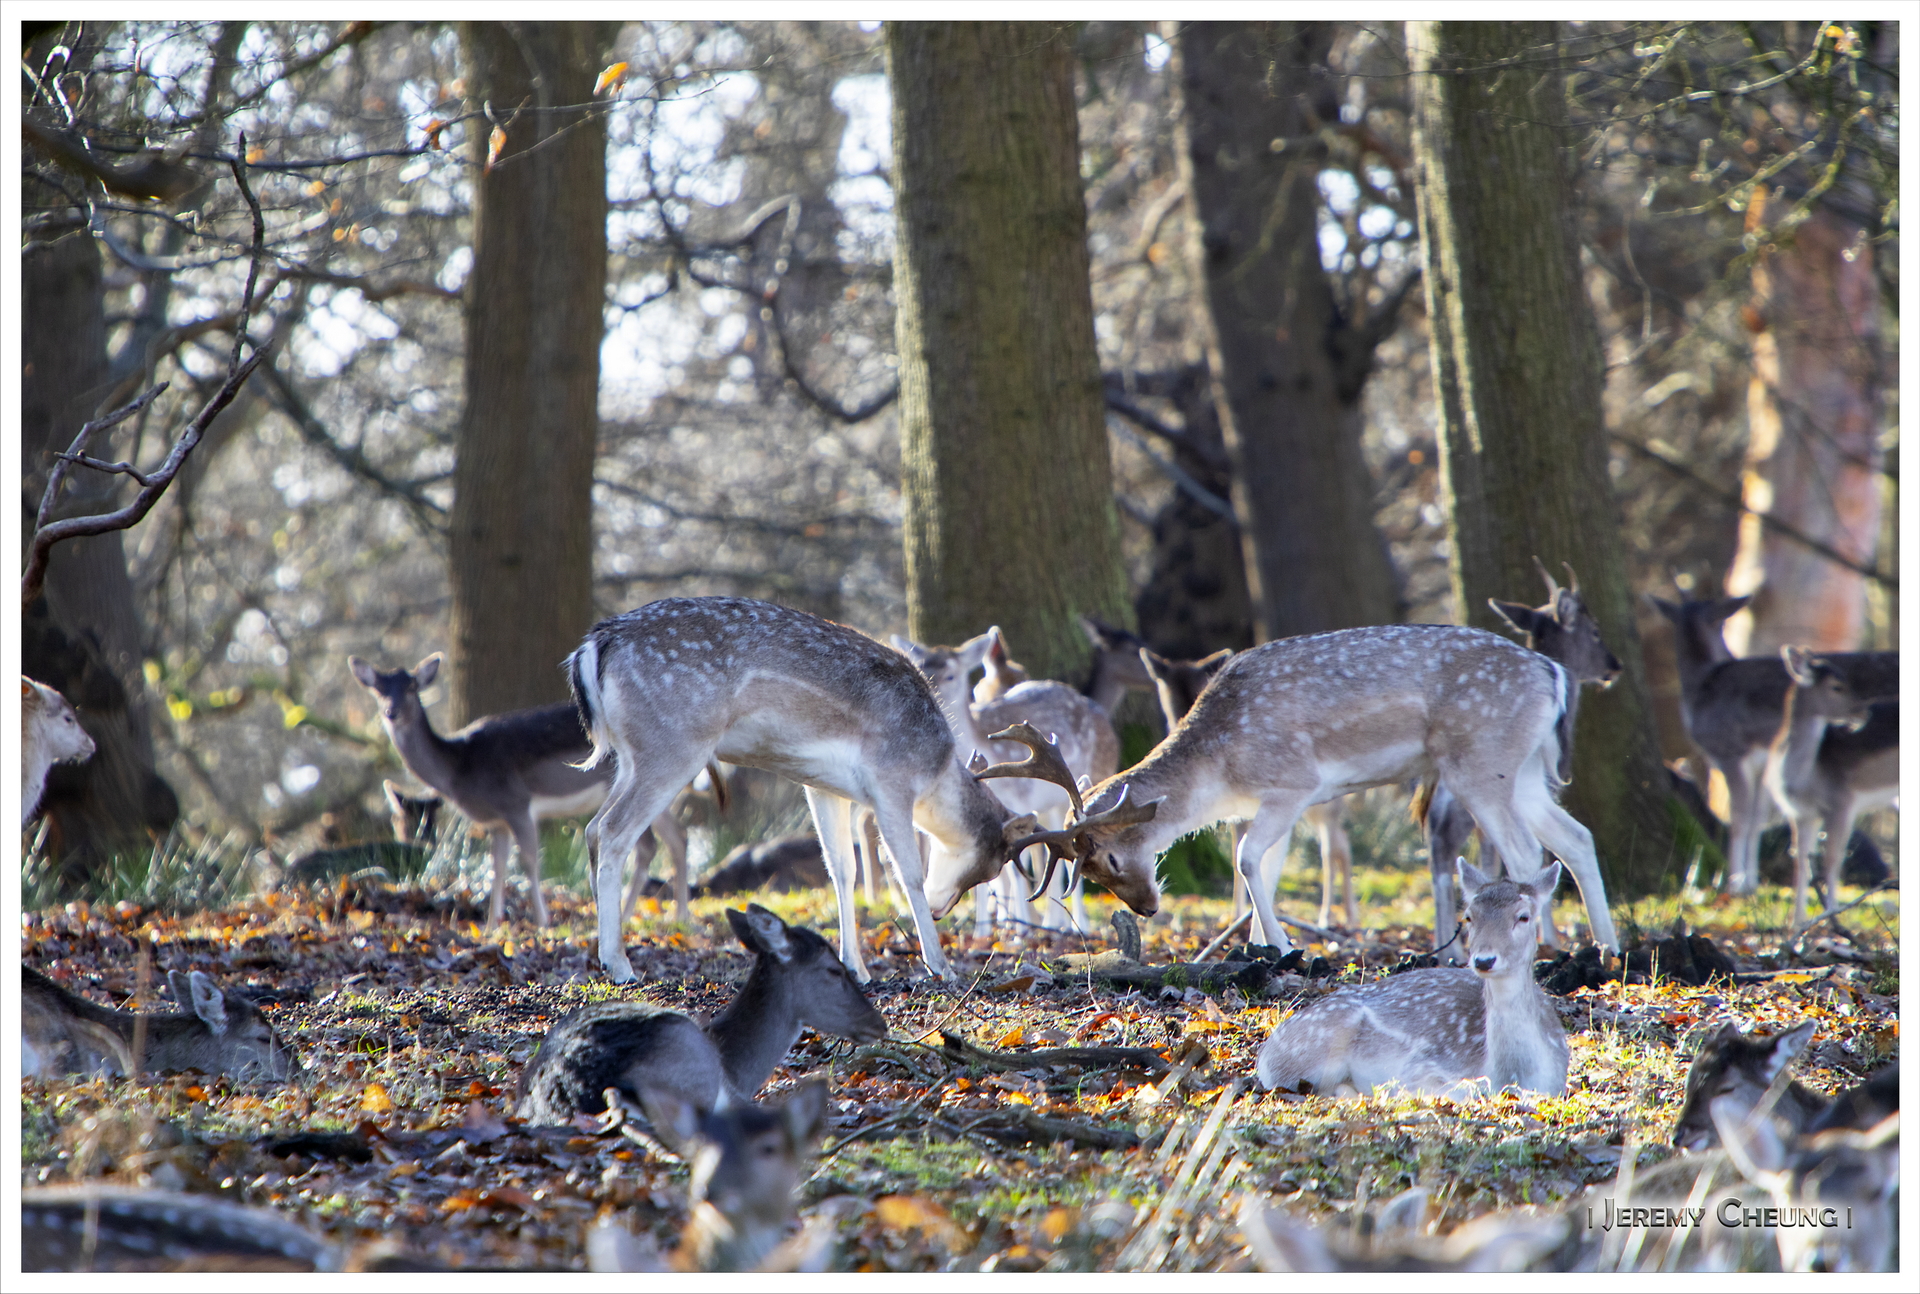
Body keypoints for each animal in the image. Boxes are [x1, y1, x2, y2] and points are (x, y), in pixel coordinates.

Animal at [349, 654, 722, 928]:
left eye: (412, 687)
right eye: (378, 689)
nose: (391, 712)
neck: (461, 767)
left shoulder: (516, 802)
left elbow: (529, 860)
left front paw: (543, 921)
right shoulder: (497, 821)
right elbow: (498, 866)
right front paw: (491, 925)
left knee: (662, 841)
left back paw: (670, 916)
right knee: (665, 840)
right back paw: (651, 915)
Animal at [1256, 859, 1568, 1098]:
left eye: (1524, 916)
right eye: (1468, 916)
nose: (1484, 960)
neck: (1512, 1073)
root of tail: (1265, 1052)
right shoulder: (1422, 1066)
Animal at [1647, 596, 1897, 896]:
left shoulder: (1731, 751)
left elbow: (1740, 818)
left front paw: (1734, 884)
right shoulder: (1763, 767)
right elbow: (1756, 819)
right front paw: (1750, 882)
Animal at [1765, 647, 1896, 930]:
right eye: (1837, 686)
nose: (1864, 713)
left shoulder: (1843, 803)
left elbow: (1833, 862)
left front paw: (1832, 918)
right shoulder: (1801, 814)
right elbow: (1801, 864)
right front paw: (1797, 923)